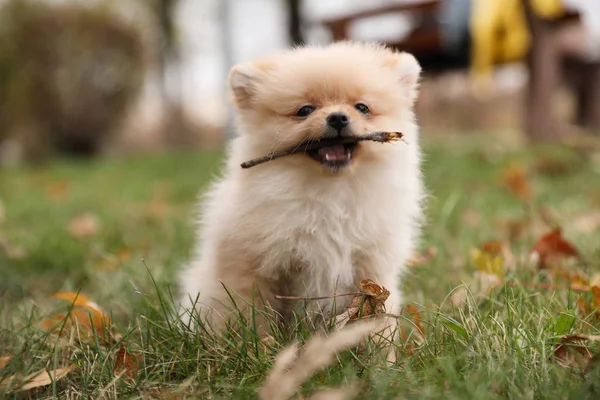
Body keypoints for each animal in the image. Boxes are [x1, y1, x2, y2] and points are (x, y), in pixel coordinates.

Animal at [177, 41, 422, 344]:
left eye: (362, 107)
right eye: (305, 110)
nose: (338, 117)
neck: (330, 192)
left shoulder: (371, 268)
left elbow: (375, 320)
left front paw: (381, 353)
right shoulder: (254, 267)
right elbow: (252, 313)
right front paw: (260, 346)